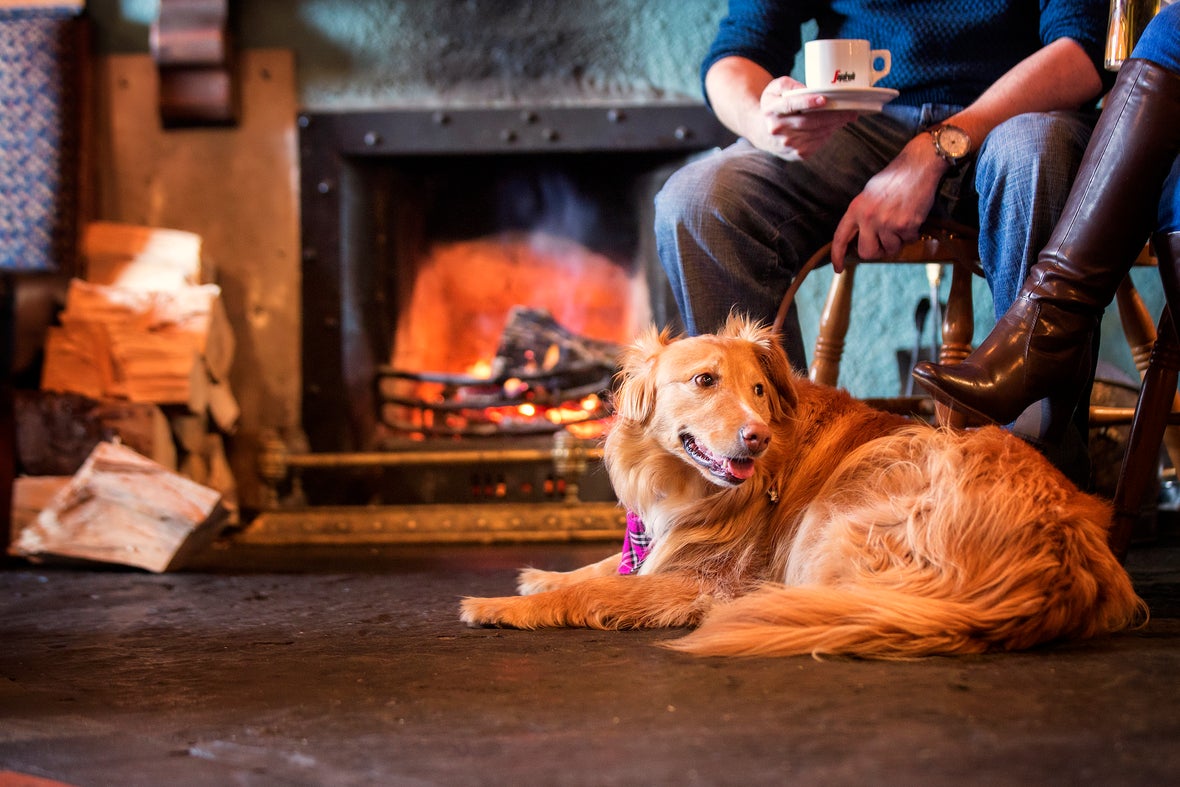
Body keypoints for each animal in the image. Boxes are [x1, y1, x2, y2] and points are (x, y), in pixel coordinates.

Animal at [457, 316, 1142, 660]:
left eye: (759, 390)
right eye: (704, 381)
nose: (756, 437)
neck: (690, 486)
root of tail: (1057, 564)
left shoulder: (700, 581)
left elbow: (600, 592)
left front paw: (498, 606)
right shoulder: (659, 547)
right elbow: (603, 569)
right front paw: (540, 576)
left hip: (842, 515)